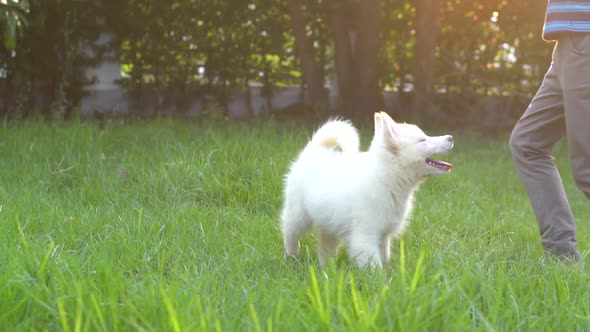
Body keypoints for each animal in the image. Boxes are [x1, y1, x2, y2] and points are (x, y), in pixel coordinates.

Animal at [282, 111, 458, 268]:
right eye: (422, 140)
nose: (451, 137)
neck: (385, 180)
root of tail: (315, 150)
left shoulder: (384, 236)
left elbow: (385, 259)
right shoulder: (364, 238)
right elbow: (374, 268)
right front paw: (380, 282)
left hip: (329, 223)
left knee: (325, 248)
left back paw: (327, 270)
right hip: (298, 217)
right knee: (290, 236)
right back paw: (292, 257)